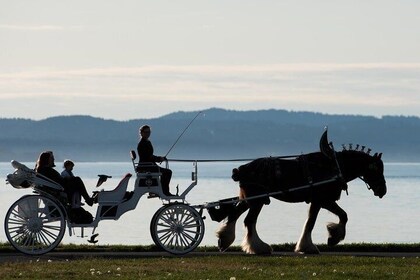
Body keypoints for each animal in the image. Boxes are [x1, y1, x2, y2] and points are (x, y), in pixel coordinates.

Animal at [217, 131, 388, 254]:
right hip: (257, 201)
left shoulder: (319, 201)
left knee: (234, 215)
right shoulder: (322, 200)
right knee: (249, 221)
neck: (334, 167)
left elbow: (316, 220)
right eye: (377, 170)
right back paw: (259, 248)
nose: (383, 190)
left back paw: (224, 240)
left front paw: (313, 243)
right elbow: (330, 218)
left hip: (249, 199)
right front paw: (328, 239)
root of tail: (240, 169)